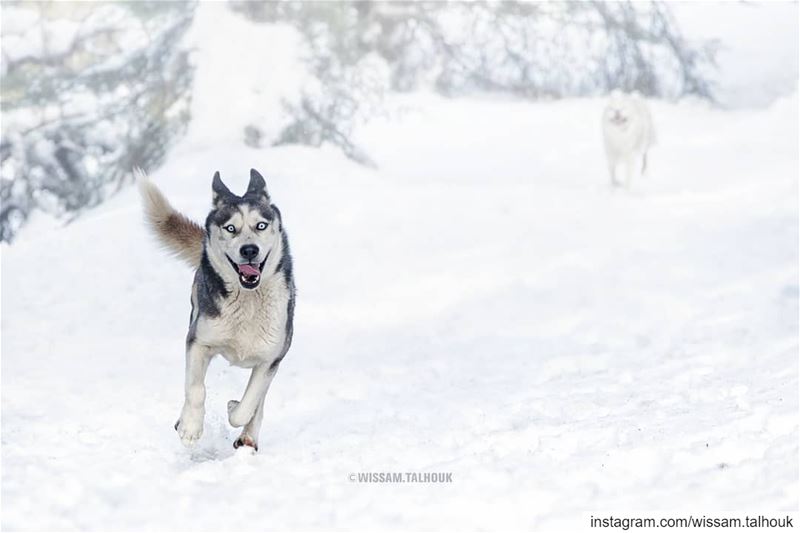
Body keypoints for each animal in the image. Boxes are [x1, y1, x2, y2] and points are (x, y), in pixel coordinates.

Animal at [138, 169, 296, 448]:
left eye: (261, 225)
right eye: (230, 228)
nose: (249, 250)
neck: (248, 300)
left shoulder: (270, 359)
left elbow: (248, 405)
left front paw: (234, 408)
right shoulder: (199, 341)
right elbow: (196, 389)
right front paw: (189, 427)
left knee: (259, 404)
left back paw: (248, 438)